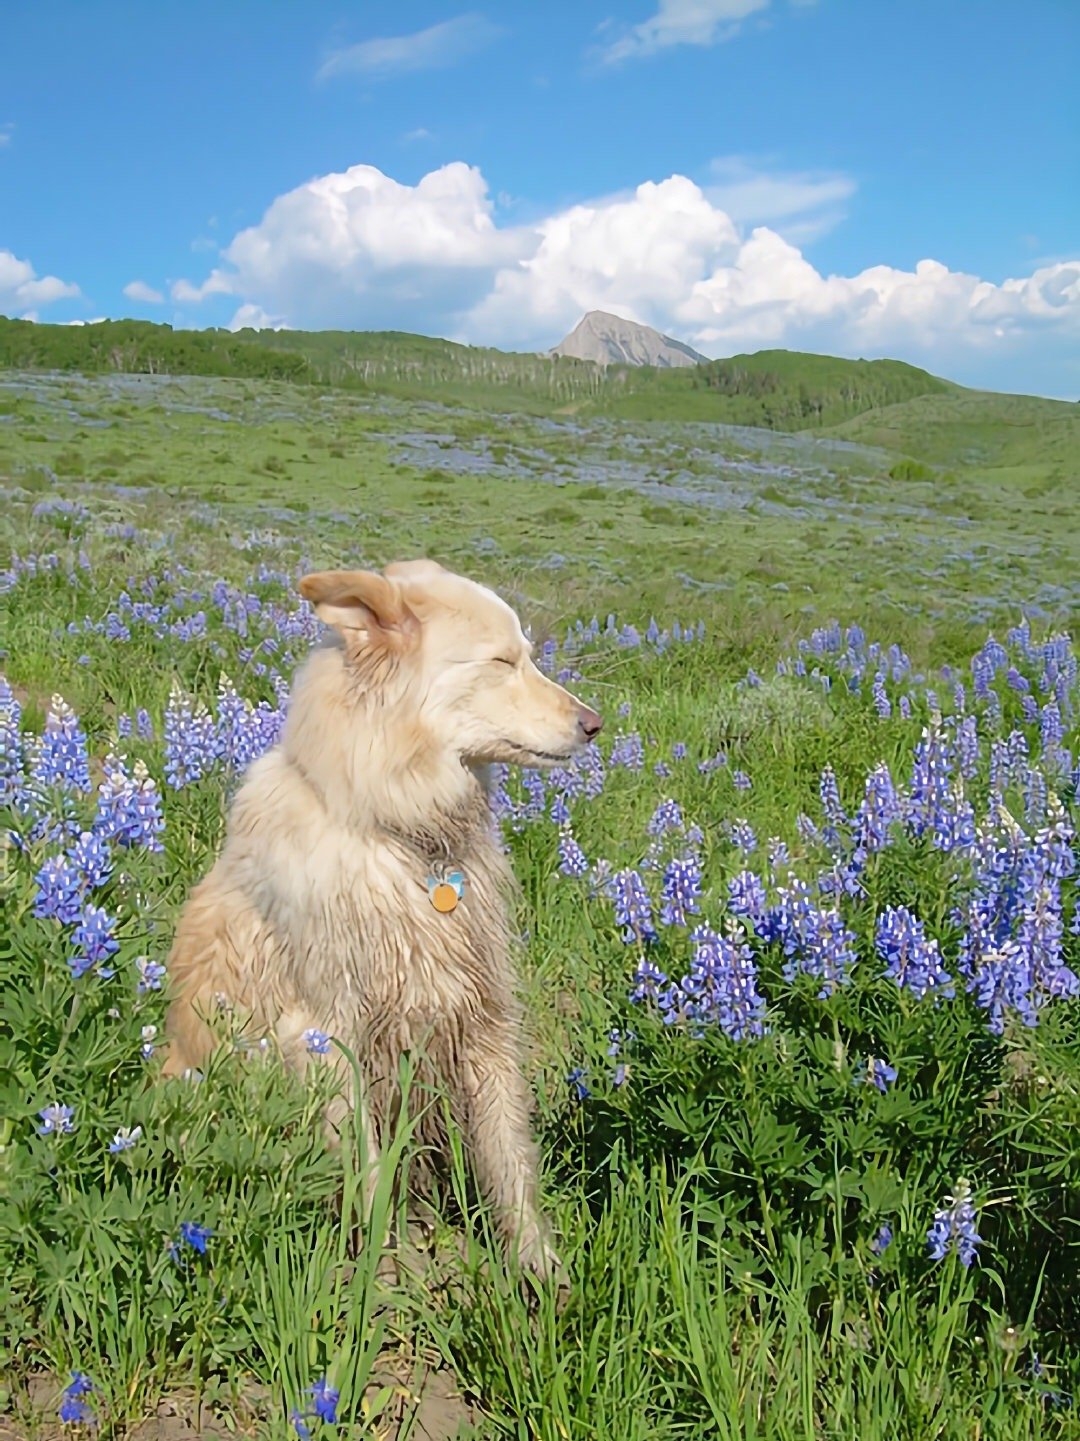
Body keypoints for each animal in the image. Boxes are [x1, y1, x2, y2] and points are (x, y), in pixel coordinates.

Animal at [162, 556, 596, 1279]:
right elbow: (368, 1179)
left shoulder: (480, 1016)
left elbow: (509, 1158)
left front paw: (541, 1272)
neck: (407, 837)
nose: (595, 724)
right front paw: (382, 1283)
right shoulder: (328, 1033)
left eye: (527, 655)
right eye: (501, 661)